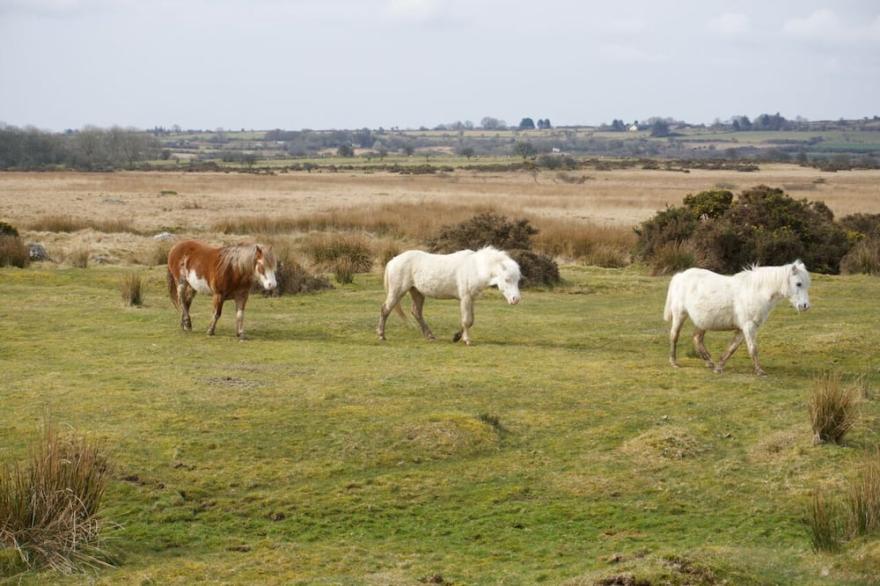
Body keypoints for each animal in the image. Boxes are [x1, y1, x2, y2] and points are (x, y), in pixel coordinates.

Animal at [378, 245, 524, 342]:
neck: (475, 268)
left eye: (517, 280)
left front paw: (457, 336)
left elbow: (470, 320)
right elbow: (467, 320)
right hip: (397, 291)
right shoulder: (465, 298)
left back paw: (430, 336)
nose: (515, 299)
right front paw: (466, 340)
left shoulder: (471, 299)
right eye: (507, 279)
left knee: (416, 312)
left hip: (417, 292)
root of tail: (393, 261)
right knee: (385, 309)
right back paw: (381, 334)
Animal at [668, 260, 812, 374]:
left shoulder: (742, 329)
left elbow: (732, 348)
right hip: (680, 315)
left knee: (697, 339)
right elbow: (753, 348)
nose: (805, 306)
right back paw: (674, 363)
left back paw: (710, 363)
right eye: (798, 284)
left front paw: (719, 367)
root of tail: (681, 276)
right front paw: (760, 371)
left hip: (702, 322)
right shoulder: (748, 326)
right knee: (674, 336)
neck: (756, 292)